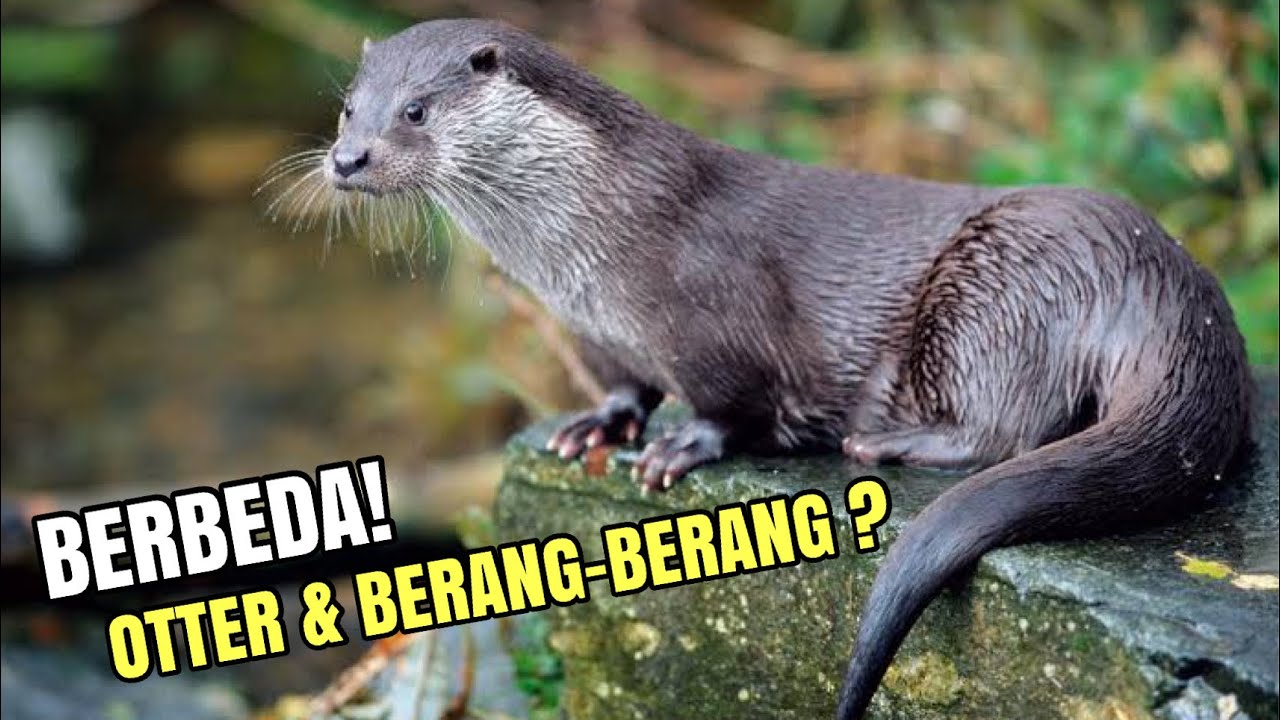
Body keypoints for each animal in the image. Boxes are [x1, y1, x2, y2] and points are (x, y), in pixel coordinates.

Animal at [317, 19, 1252, 720]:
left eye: (416, 110)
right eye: (348, 109)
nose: (347, 159)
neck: (590, 244)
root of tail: (1165, 280)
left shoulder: (712, 316)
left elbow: (732, 404)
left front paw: (680, 448)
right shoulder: (595, 334)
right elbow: (627, 385)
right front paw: (599, 424)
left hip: (1003, 283)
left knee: (1008, 425)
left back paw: (887, 444)